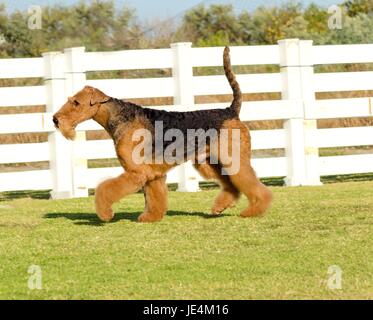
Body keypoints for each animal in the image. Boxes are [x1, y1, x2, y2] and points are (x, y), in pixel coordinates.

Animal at [53, 47, 270, 222]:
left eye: (76, 103)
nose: (55, 119)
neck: (122, 117)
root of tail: (231, 111)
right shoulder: (152, 174)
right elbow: (154, 198)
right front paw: (150, 217)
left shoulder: (136, 172)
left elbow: (104, 189)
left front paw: (105, 214)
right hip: (209, 163)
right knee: (232, 186)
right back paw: (220, 207)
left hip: (232, 159)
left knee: (253, 186)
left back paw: (253, 211)